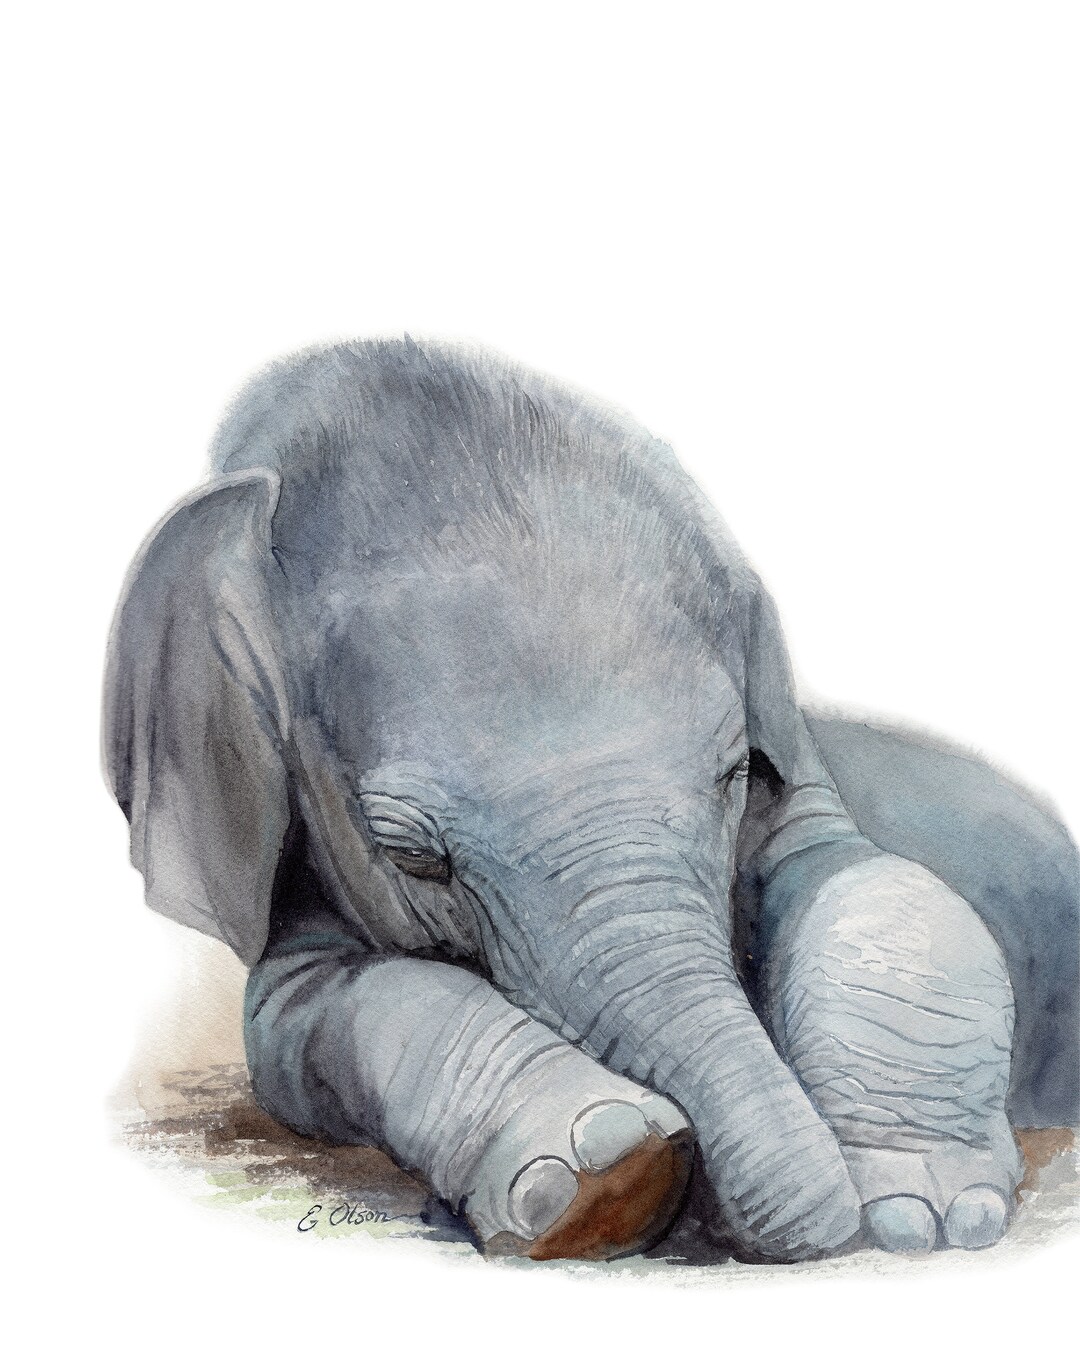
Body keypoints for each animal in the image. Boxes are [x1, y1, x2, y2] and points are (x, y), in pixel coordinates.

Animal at [104, 338, 1079, 1263]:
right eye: (412, 855)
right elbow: (301, 1016)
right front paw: (607, 1174)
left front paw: (930, 1215)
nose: (827, 1232)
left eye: (736, 773)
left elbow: (869, 881)